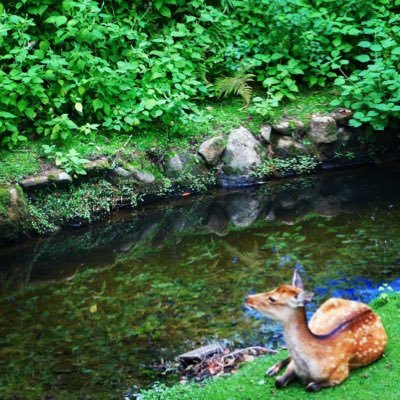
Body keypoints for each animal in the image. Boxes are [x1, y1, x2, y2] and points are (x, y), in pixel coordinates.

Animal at [245, 270, 386, 392]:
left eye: (272, 299)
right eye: (272, 289)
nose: (247, 297)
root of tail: (370, 309)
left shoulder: (341, 372)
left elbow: (310, 387)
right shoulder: (294, 365)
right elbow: (278, 381)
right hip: (315, 319)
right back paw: (271, 369)